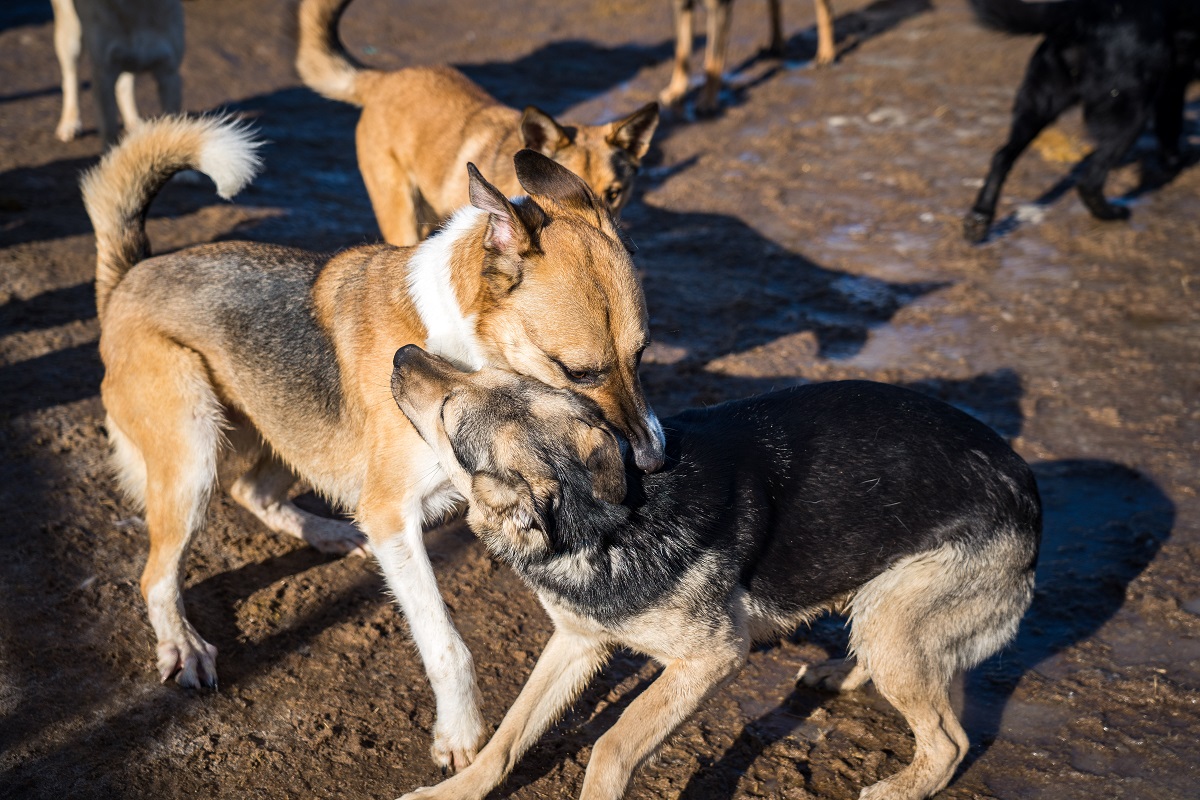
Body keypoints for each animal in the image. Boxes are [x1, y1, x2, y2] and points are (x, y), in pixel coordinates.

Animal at [84, 115, 667, 772]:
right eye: (578, 371)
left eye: (642, 354)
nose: (655, 459)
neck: (461, 343)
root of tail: (128, 277)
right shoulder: (392, 515)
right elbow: (446, 645)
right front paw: (460, 736)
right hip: (194, 447)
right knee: (158, 575)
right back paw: (182, 644)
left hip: (294, 433)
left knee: (253, 490)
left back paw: (328, 531)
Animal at [391, 347, 1041, 800]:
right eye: (478, 373)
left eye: (447, 416)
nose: (401, 353)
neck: (605, 517)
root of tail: (1028, 488)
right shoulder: (577, 643)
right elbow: (507, 737)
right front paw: (452, 792)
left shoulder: (713, 658)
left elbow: (611, 743)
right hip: (885, 611)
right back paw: (840, 674)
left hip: (896, 620)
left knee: (950, 742)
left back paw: (902, 786)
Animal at [657, 0, 835, 113]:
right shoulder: (681, 6)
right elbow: (681, 53)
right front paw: (676, 90)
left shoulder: (719, 9)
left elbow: (713, 62)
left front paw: (707, 101)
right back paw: (776, 44)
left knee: (825, 8)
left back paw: (826, 53)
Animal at [964, 0, 1200, 242]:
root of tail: (1083, 10)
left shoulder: (1173, 85)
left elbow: (1170, 129)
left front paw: (1175, 162)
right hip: (1130, 115)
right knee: (1089, 182)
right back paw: (1112, 213)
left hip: (1038, 106)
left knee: (1002, 156)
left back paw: (980, 219)